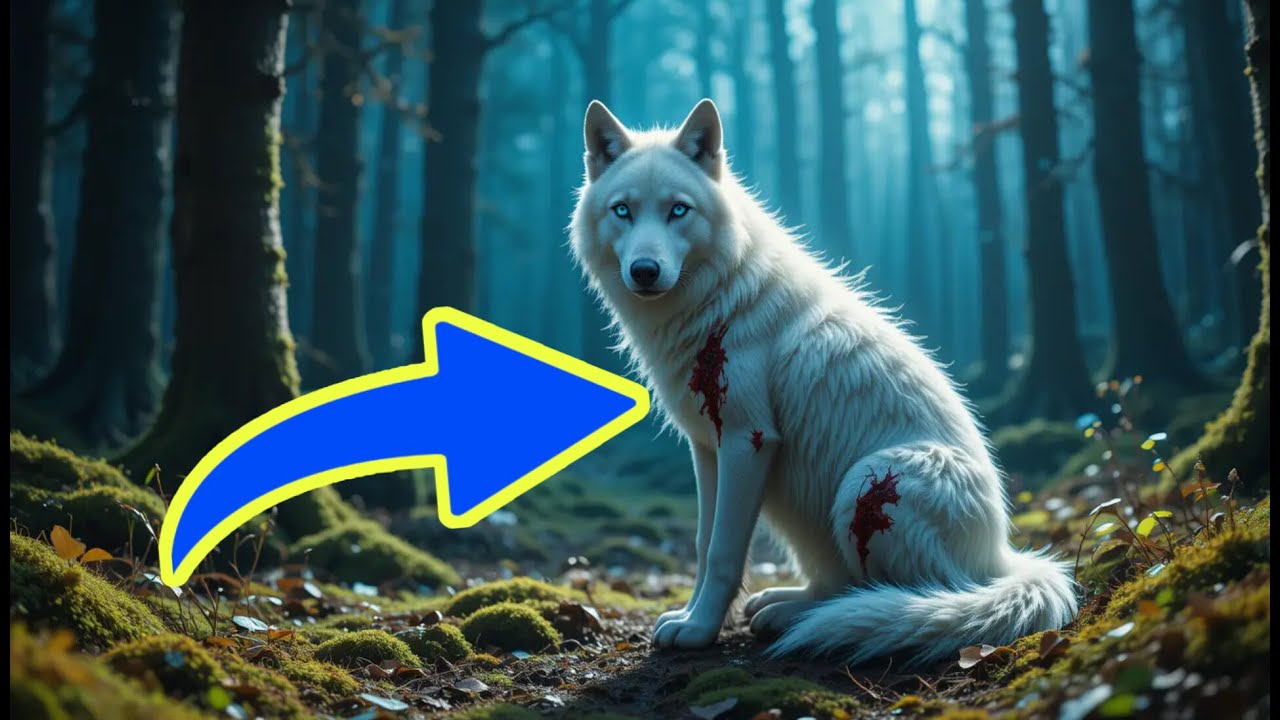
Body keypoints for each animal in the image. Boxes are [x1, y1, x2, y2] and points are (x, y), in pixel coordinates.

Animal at [569, 98, 1077, 666]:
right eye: (623, 211)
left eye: (679, 210)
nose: (645, 270)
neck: (721, 297)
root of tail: (1005, 559)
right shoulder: (706, 448)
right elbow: (703, 544)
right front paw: (689, 617)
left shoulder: (747, 440)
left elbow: (723, 551)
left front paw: (698, 631)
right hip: (797, 504)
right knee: (836, 583)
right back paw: (786, 608)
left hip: (864, 487)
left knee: (905, 595)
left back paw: (839, 619)